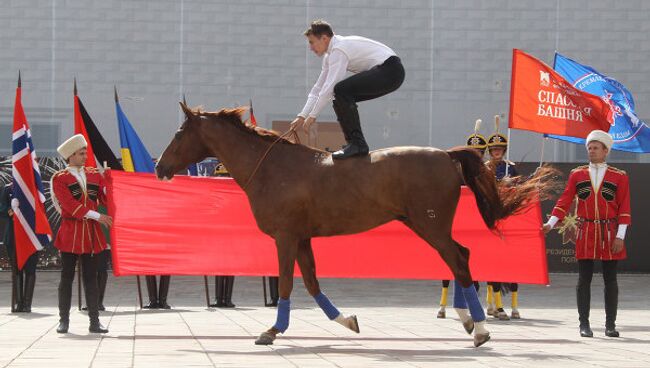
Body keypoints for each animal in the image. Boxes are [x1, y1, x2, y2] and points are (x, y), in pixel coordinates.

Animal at [156, 103, 552, 344]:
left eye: (178, 134)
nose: (160, 167)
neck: (272, 167)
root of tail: (446, 154)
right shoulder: (302, 238)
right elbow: (312, 283)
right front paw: (346, 320)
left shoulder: (285, 237)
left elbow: (286, 283)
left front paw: (273, 329)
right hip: (426, 225)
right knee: (461, 256)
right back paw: (468, 319)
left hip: (431, 225)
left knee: (458, 258)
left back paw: (479, 327)